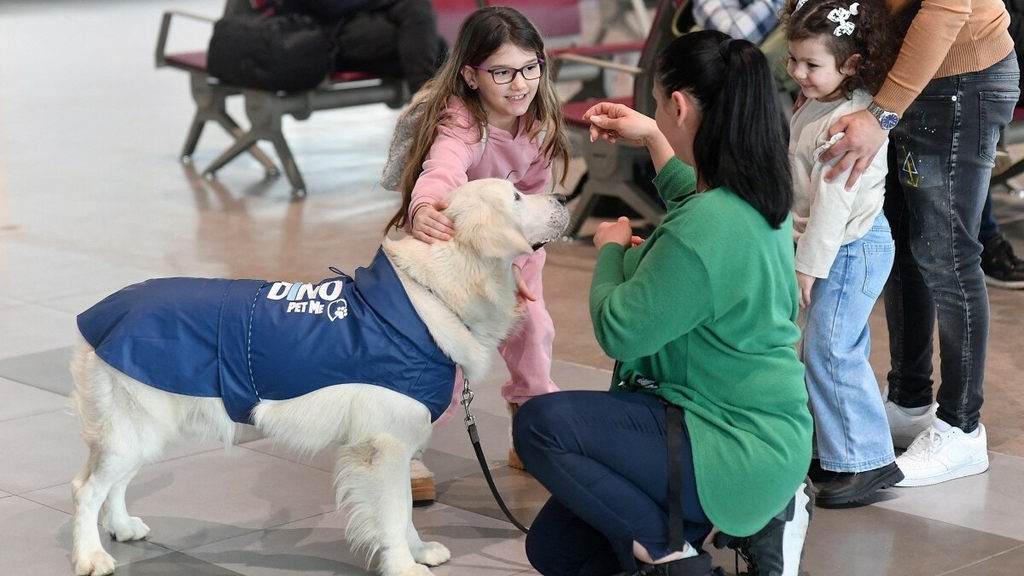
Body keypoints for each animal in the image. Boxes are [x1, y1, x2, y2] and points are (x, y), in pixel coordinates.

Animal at [69, 179, 573, 573]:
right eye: (516, 196)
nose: (565, 196)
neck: (433, 292)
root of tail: (101, 312)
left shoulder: (395, 443)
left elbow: (404, 509)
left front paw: (417, 551)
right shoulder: (384, 446)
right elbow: (393, 512)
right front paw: (403, 565)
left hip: (143, 430)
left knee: (114, 484)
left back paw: (121, 527)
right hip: (132, 426)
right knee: (86, 489)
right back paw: (90, 556)